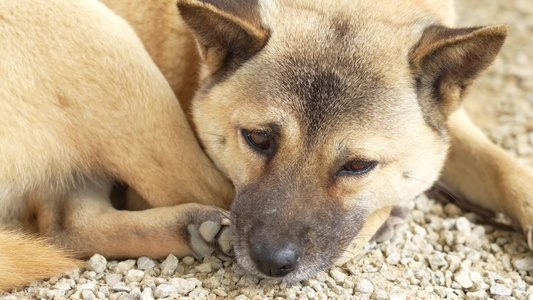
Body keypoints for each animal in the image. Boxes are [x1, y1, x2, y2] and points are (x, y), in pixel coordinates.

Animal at [1, 0, 532, 290]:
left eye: (358, 165)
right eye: (257, 139)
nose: (271, 263)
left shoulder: (449, 121)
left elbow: (508, 169)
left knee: (66, 224)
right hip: (110, 47)